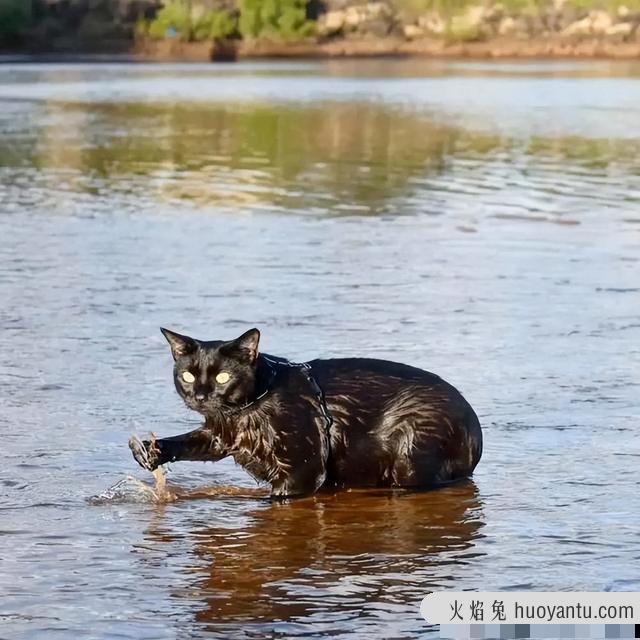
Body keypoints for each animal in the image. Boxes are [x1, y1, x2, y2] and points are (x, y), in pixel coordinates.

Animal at [129, 328, 480, 498]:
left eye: (223, 377)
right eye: (187, 376)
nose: (201, 396)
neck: (246, 410)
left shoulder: (303, 468)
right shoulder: (220, 435)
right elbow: (188, 443)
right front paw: (148, 451)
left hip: (411, 455)